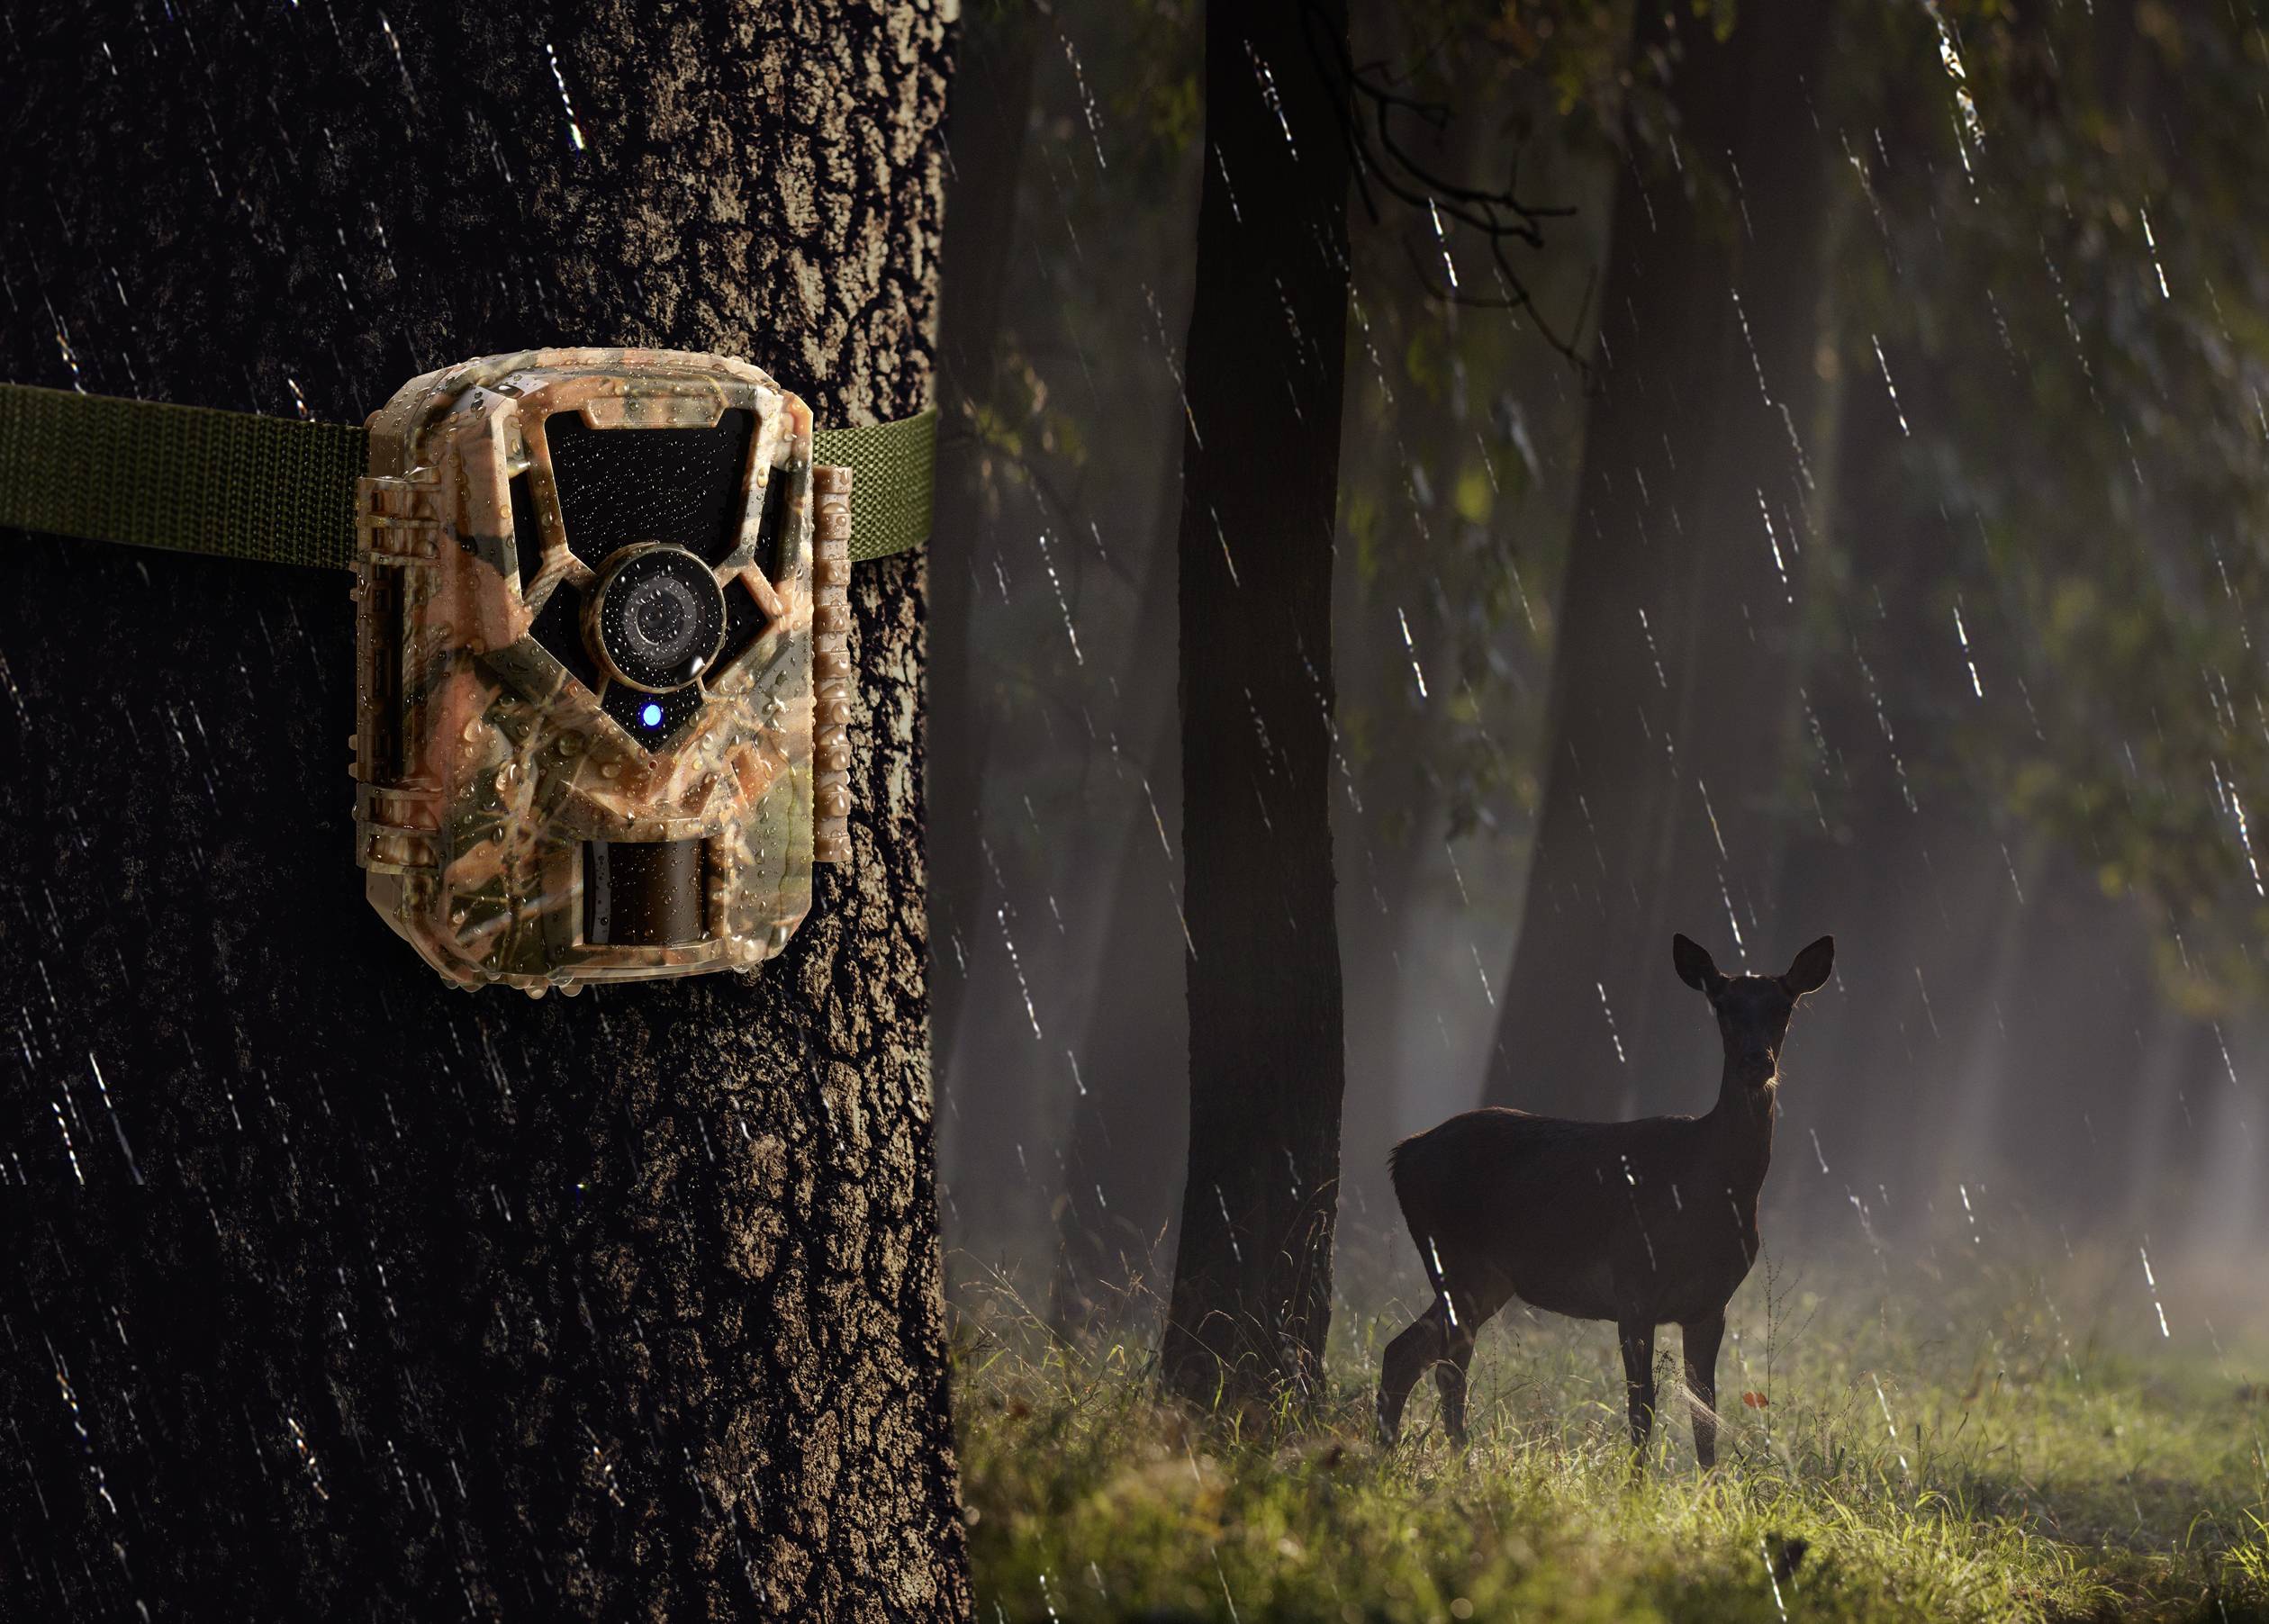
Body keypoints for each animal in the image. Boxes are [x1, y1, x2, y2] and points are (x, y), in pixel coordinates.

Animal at [1376, 933, 1834, 1466]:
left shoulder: (1711, 1303)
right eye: (1722, 1005)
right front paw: (1636, 1483)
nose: (1757, 1061)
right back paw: (1443, 1461)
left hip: (1488, 1278)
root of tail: (1403, 1154)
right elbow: (1643, 1406)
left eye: (1784, 1007)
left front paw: (1708, 1487)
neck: (1711, 1191)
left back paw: (1401, 1455)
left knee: (1409, 1354)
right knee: (1442, 1365)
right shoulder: (1634, 1283)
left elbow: (1705, 1415)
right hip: (1455, 1258)